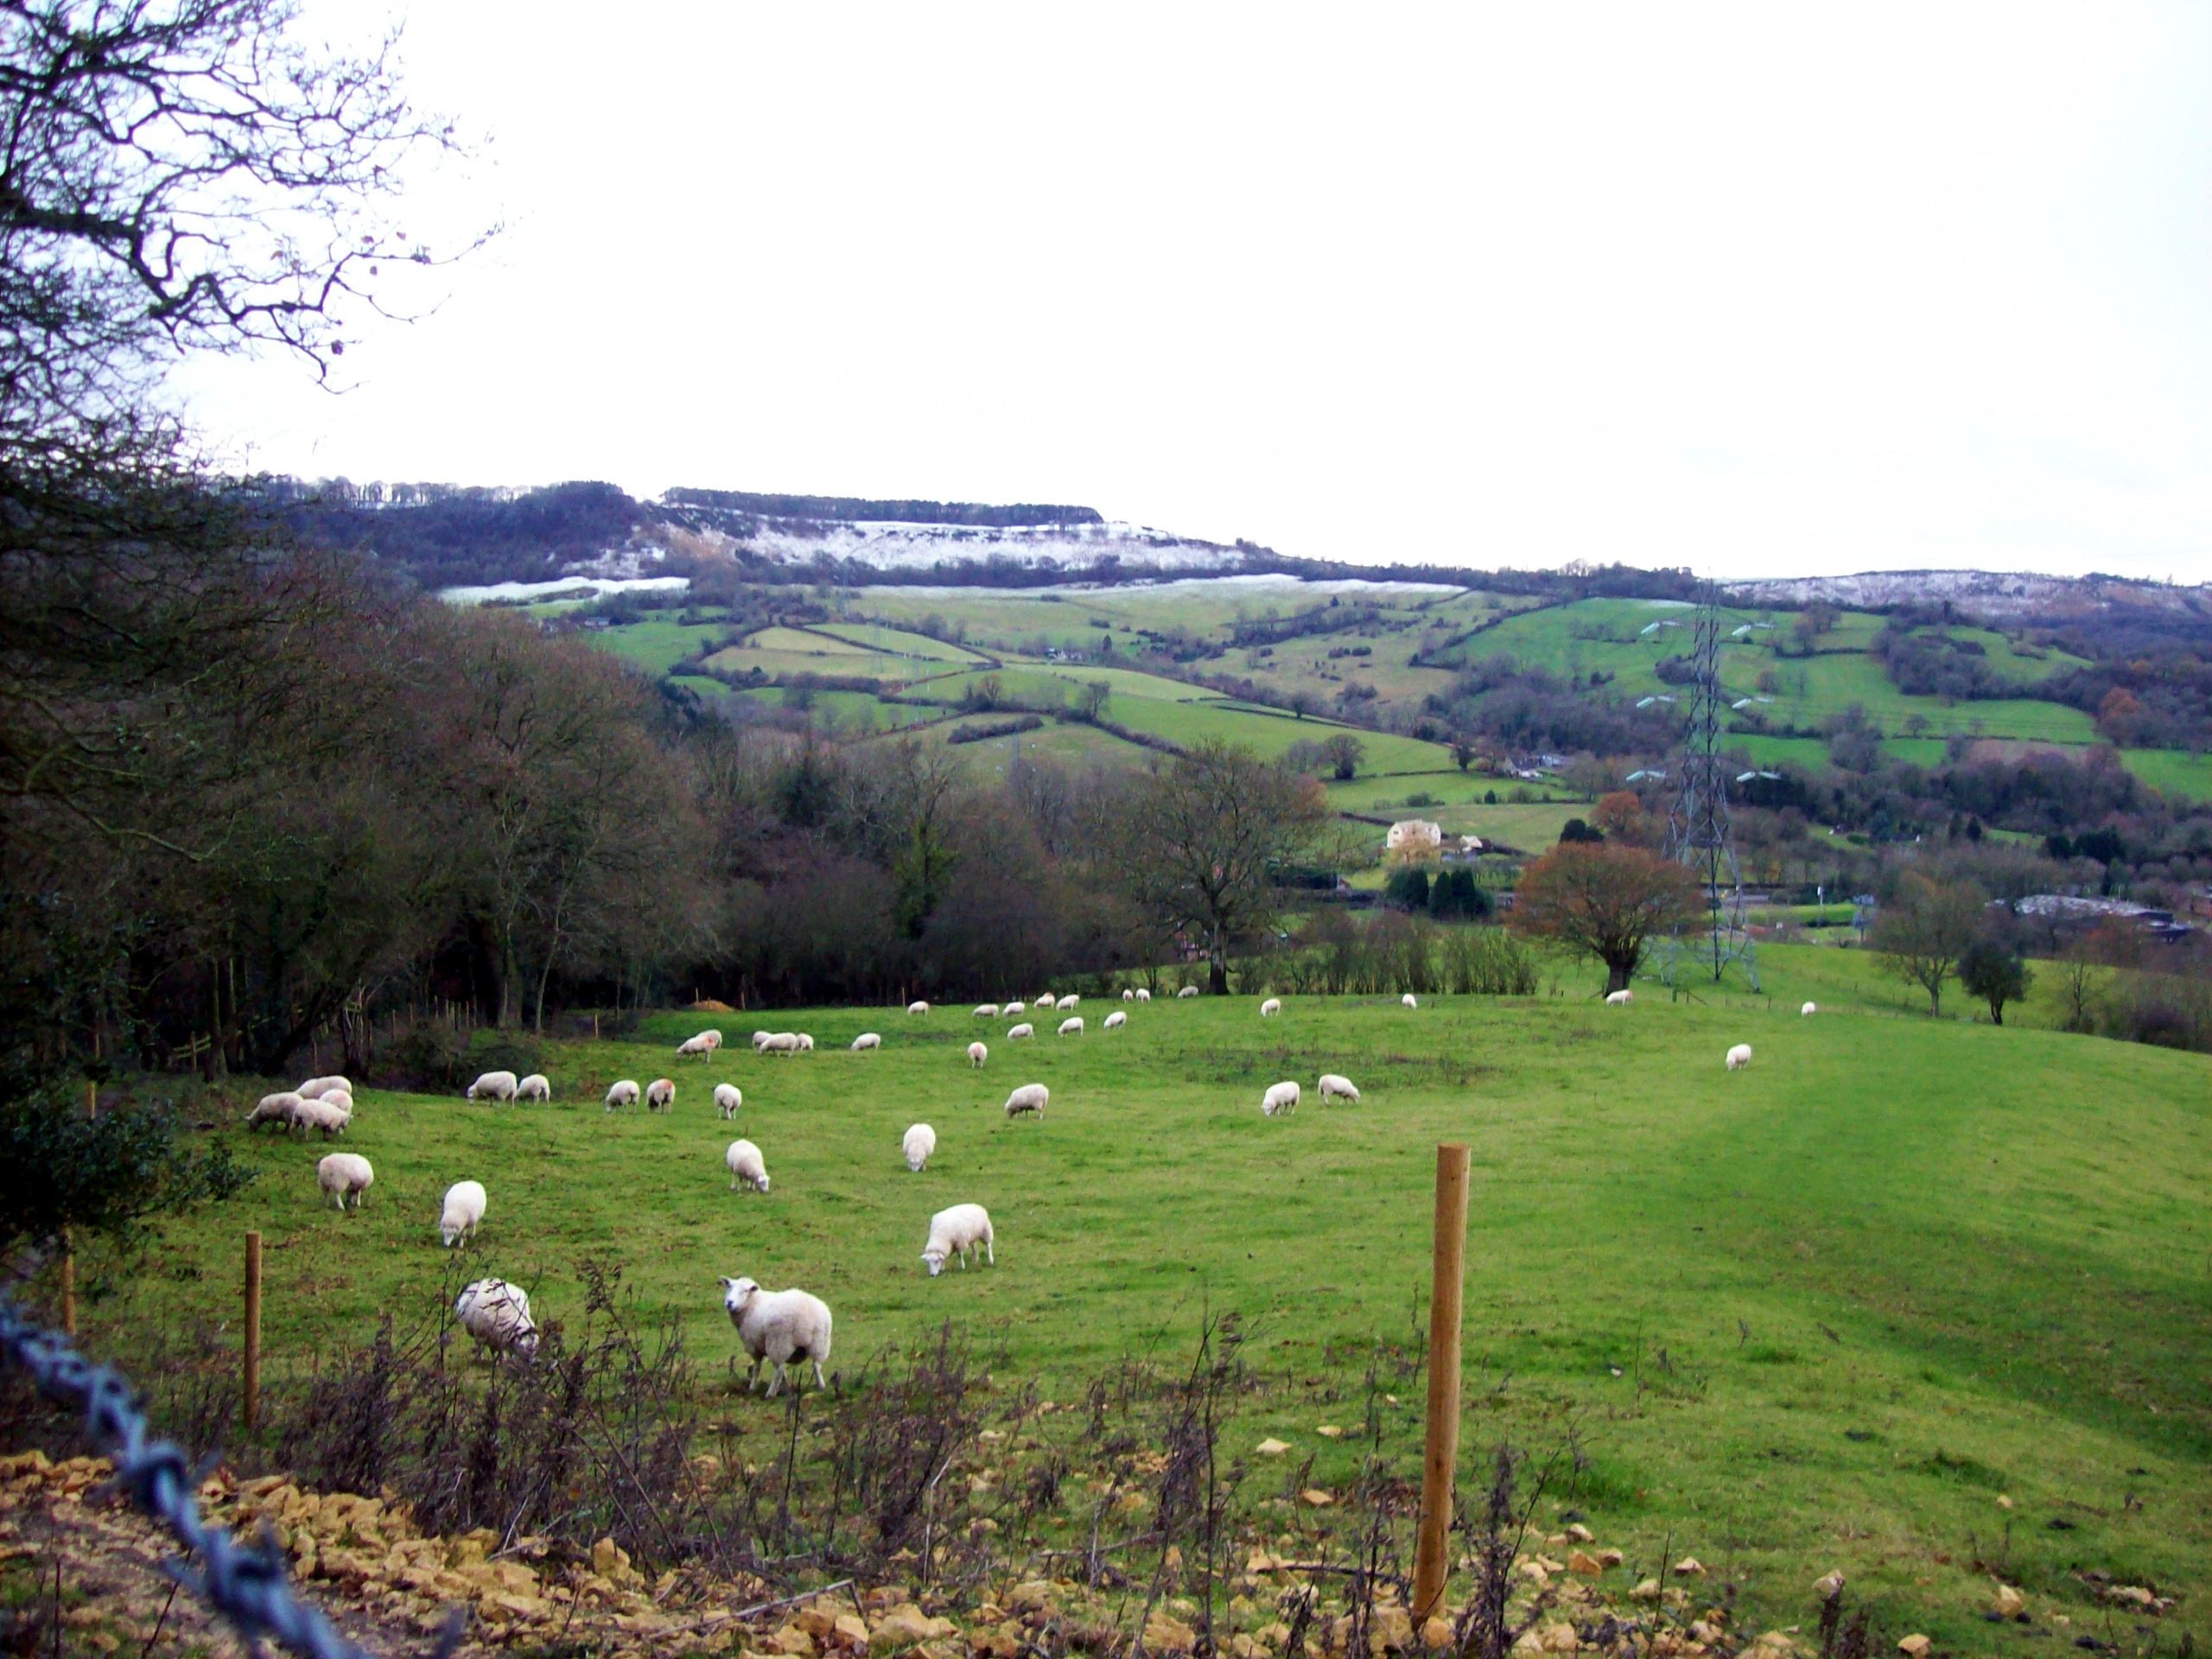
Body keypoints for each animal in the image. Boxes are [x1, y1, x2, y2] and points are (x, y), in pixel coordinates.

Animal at [721, 1282, 831, 1397]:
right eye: (729, 1287)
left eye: (745, 1291)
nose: (729, 1303)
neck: (753, 1302)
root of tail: (806, 1317)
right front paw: (785, 1386)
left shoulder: (754, 1346)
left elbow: (757, 1367)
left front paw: (752, 1387)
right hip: (819, 1343)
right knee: (816, 1365)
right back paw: (820, 1386)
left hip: (779, 1342)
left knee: (779, 1369)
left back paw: (770, 1393)